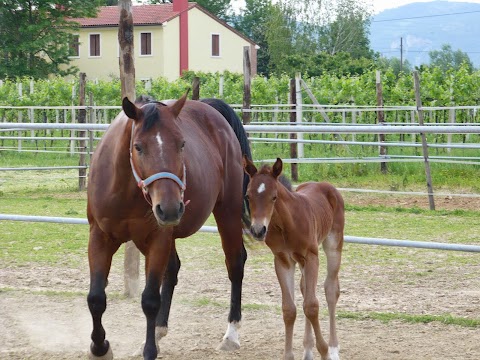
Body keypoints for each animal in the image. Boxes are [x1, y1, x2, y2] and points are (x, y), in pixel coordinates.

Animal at [244, 157, 344, 360]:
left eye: (274, 197)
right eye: (248, 196)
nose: (258, 230)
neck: (286, 224)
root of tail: (326, 186)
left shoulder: (311, 257)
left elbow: (312, 305)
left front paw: (324, 351)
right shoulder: (283, 261)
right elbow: (289, 309)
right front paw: (290, 354)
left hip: (333, 246)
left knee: (330, 290)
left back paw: (333, 348)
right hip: (301, 261)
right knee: (305, 288)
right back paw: (307, 349)